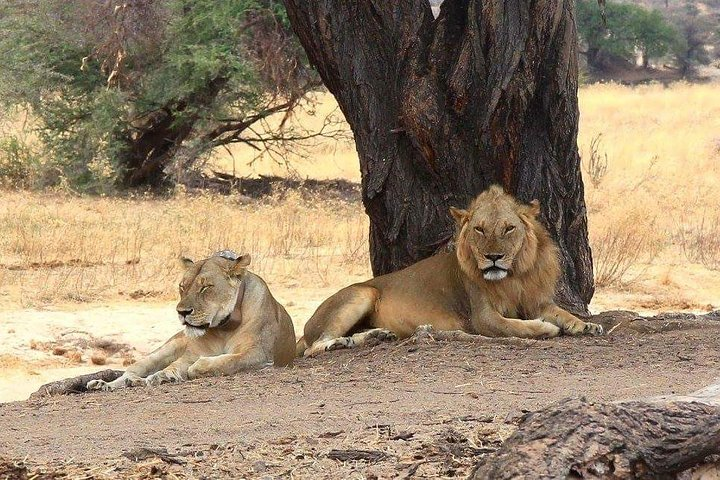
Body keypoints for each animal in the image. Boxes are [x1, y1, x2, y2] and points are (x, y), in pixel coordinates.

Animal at [87, 251, 296, 391]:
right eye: (182, 286)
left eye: (205, 287)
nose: (182, 312)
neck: (224, 328)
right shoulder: (193, 353)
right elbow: (177, 365)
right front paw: (165, 375)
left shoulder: (259, 353)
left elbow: (227, 361)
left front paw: (195, 368)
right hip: (166, 348)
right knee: (133, 370)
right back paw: (106, 383)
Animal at [297, 185, 603, 357]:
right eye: (479, 229)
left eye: (508, 228)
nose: (493, 257)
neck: (514, 275)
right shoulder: (483, 318)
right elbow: (516, 326)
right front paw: (545, 328)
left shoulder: (535, 300)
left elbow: (562, 312)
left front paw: (585, 325)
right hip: (362, 294)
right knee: (315, 346)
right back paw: (340, 344)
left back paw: (376, 336)